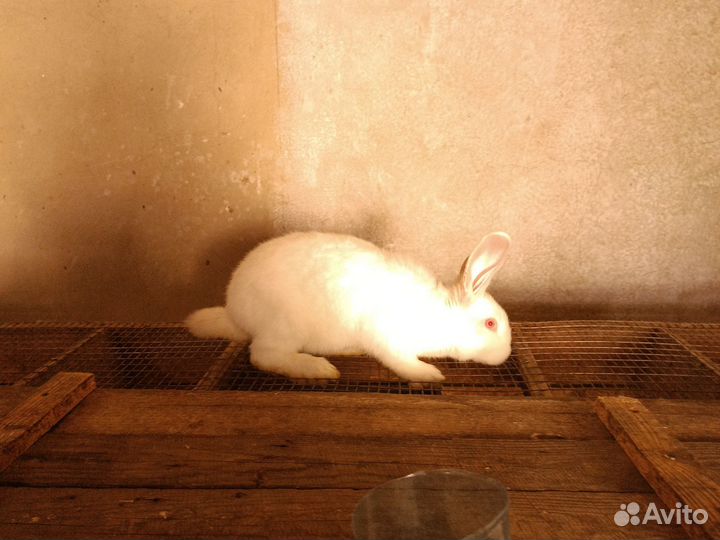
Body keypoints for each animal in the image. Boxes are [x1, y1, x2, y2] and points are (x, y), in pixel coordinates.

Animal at [185, 231, 512, 382]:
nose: (506, 355)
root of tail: (234, 311)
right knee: (264, 355)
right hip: (284, 326)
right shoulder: (385, 335)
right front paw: (427, 374)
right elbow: (400, 360)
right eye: (490, 323)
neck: (441, 314)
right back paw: (318, 369)